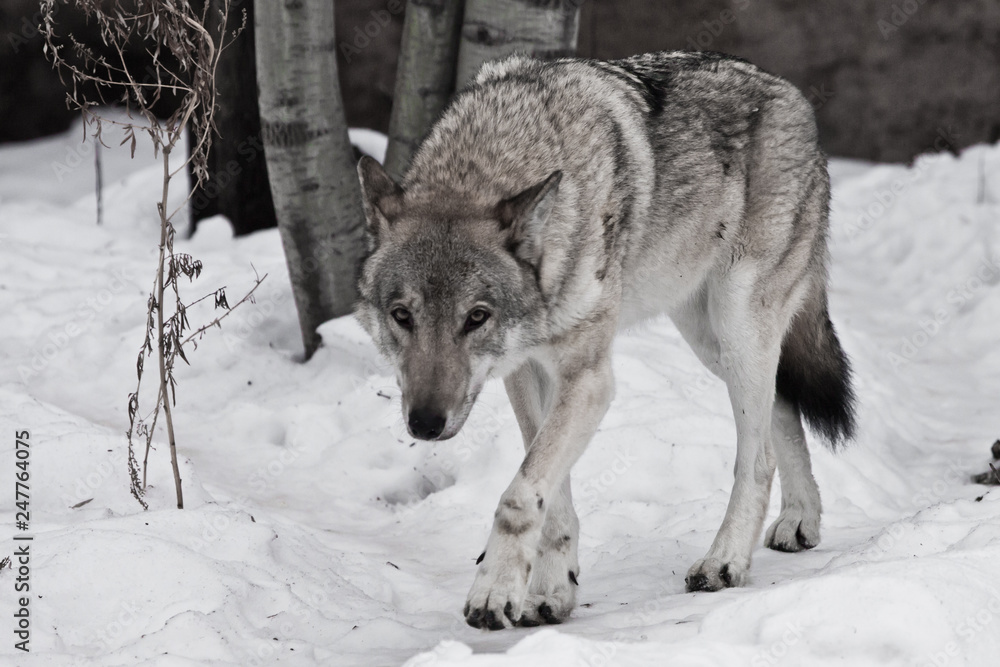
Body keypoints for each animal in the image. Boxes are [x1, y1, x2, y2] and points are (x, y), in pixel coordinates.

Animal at [354, 50, 856, 630]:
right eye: (402, 316)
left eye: (476, 317)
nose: (425, 424)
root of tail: (793, 96)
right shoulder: (529, 371)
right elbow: (550, 493)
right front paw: (551, 591)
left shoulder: (590, 378)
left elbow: (520, 493)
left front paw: (494, 591)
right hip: (714, 345)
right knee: (784, 408)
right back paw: (800, 520)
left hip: (739, 326)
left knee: (757, 457)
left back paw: (725, 561)